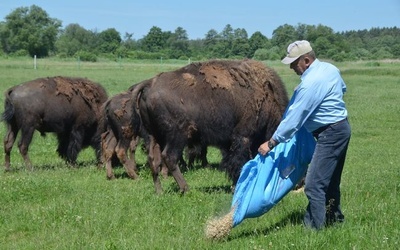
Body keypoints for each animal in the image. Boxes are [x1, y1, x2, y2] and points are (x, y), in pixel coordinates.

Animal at [133, 59, 290, 193]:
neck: (268, 97)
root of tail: (149, 84)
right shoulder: (243, 137)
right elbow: (239, 161)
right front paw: (236, 186)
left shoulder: (230, 142)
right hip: (177, 136)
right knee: (169, 157)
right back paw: (186, 189)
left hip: (153, 136)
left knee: (153, 159)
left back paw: (160, 191)